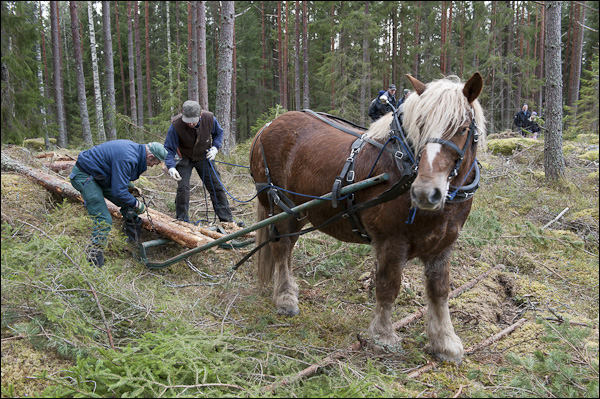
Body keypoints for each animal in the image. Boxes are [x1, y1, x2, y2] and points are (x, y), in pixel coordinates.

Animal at [248, 73, 488, 364]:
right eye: (420, 125)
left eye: (462, 129)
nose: (425, 192)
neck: (403, 165)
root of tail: (267, 126)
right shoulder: (391, 241)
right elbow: (388, 286)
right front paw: (382, 337)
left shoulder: (444, 244)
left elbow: (440, 291)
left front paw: (444, 342)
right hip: (279, 206)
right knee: (281, 248)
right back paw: (285, 299)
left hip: (299, 212)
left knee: (288, 247)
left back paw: (288, 289)